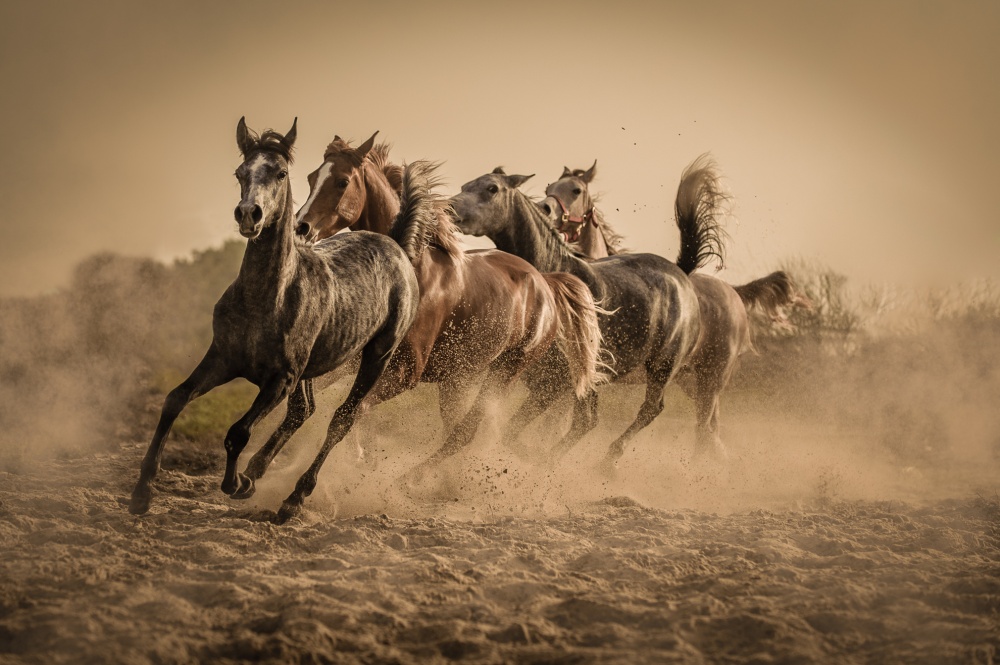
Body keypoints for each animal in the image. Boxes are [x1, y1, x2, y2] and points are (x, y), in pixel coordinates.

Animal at [128, 118, 421, 524]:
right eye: (240, 172)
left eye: (281, 173)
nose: (248, 214)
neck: (267, 297)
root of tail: (396, 246)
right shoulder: (222, 359)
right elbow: (175, 399)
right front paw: (141, 494)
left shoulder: (280, 379)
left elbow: (237, 431)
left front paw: (236, 484)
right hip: (311, 370)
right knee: (304, 411)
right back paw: (258, 473)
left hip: (378, 356)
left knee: (342, 419)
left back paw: (292, 499)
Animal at [290, 133, 605, 470]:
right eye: (312, 177)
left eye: (342, 181)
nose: (301, 227)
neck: (413, 266)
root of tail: (546, 281)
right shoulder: (354, 361)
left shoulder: (405, 373)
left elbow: (354, 412)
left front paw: (357, 456)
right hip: (456, 380)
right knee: (456, 428)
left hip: (504, 373)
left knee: (464, 431)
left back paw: (412, 477)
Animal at [451, 156, 734, 470]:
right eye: (465, 186)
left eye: (492, 188)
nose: (450, 209)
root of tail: (681, 274)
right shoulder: (542, 380)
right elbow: (524, 431)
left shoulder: (555, 384)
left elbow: (518, 431)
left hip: (667, 367)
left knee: (653, 410)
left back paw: (609, 459)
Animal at [541, 161, 806, 455]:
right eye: (550, 187)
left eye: (576, 190)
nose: (544, 208)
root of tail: (735, 293)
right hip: (690, 381)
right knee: (711, 432)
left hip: (709, 380)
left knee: (702, 429)